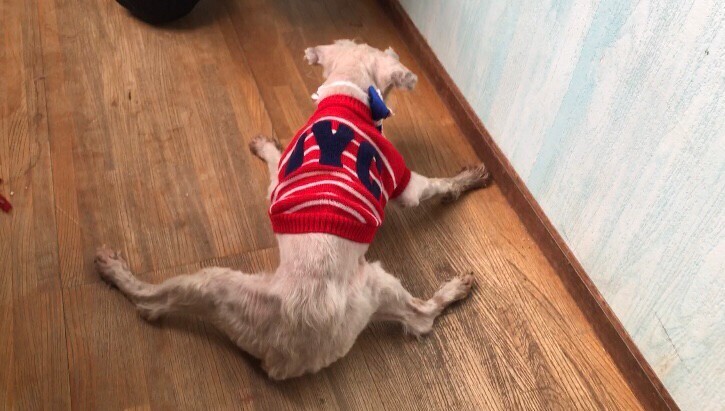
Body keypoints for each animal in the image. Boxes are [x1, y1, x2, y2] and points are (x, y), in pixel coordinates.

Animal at [95, 40, 491, 380]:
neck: (347, 94)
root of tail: (289, 343)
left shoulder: (279, 180)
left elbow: (274, 168)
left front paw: (264, 147)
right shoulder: (405, 181)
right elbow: (437, 185)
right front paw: (465, 180)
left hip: (224, 294)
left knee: (155, 304)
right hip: (374, 283)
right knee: (420, 316)